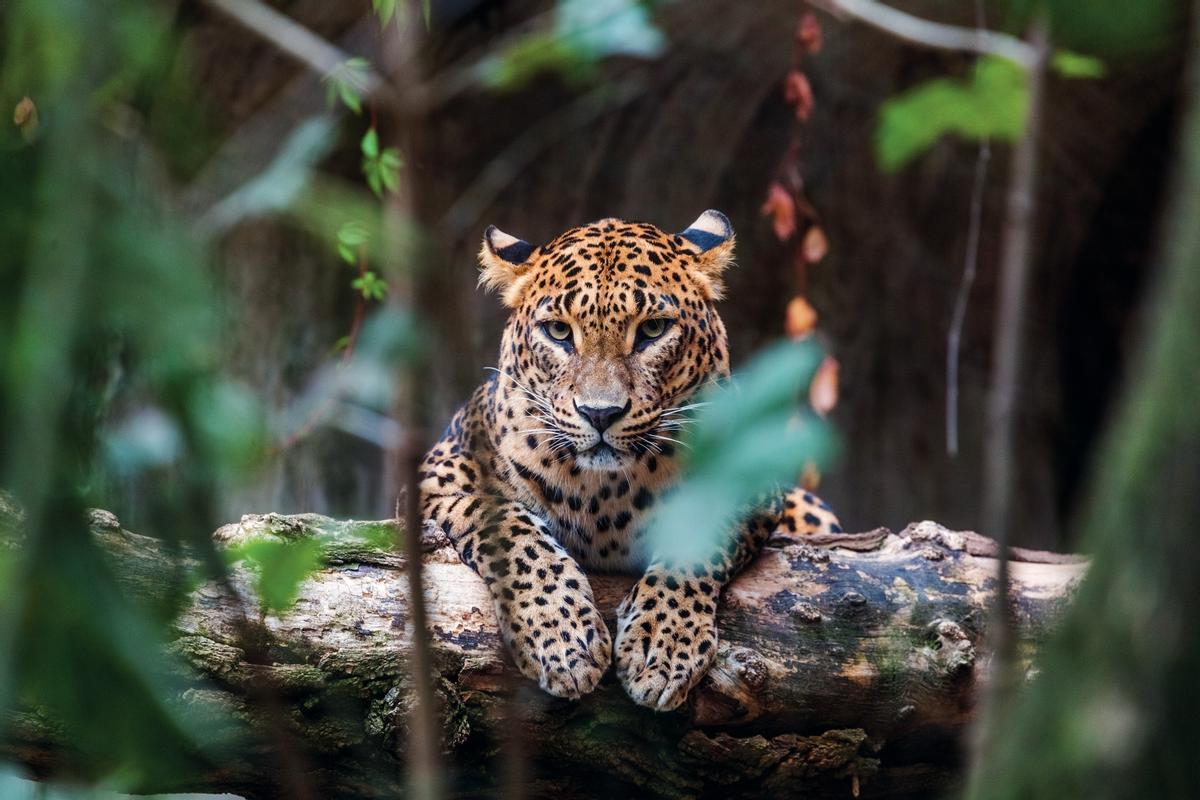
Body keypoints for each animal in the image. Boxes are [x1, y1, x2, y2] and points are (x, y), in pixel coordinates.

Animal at [419, 210, 841, 711]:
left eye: (653, 330)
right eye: (558, 331)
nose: (600, 413)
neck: (602, 493)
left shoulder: (748, 483)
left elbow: (696, 539)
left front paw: (663, 646)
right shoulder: (437, 477)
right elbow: (510, 530)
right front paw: (562, 640)